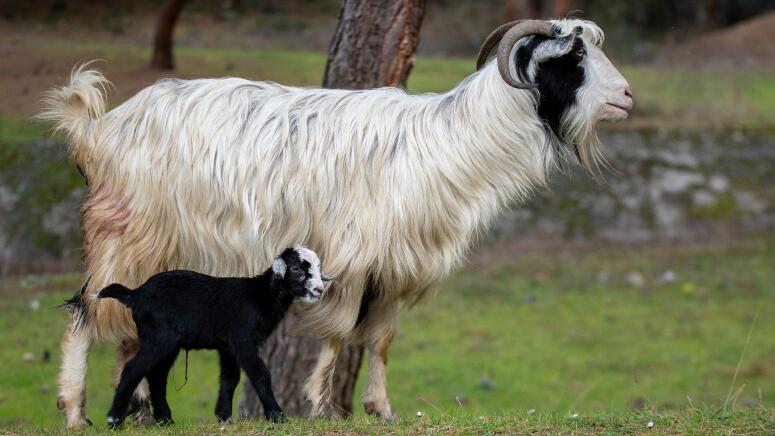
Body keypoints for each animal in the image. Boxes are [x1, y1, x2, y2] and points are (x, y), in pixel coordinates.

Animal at [42, 18, 632, 428]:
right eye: (574, 54)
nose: (627, 96)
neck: (450, 141)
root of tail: (96, 130)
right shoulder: (352, 253)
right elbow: (338, 332)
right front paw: (320, 404)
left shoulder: (395, 265)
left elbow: (382, 339)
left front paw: (382, 409)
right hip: (124, 230)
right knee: (84, 313)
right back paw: (74, 411)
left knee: (129, 332)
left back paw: (141, 411)